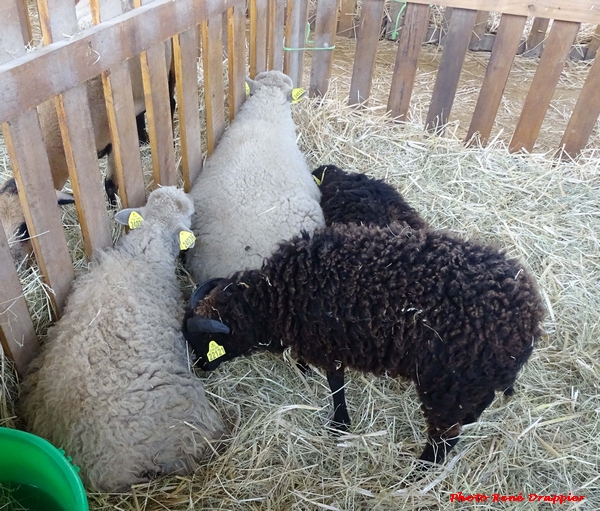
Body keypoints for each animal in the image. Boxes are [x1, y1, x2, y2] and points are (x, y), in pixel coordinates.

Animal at [182, 222, 544, 466]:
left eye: (207, 341)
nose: (199, 368)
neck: (274, 297)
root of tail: (529, 319)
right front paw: (303, 369)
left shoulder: (328, 342)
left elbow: (335, 383)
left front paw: (340, 424)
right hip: (473, 381)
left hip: (449, 384)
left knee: (444, 439)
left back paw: (417, 473)